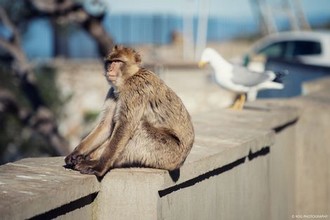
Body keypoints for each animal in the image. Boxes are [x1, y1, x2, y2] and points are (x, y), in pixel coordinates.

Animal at [64, 44, 193, 177]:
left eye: (118, 61)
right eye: (110, 62)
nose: (110, 69)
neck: (129, 77)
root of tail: (180, 162)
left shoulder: (134, 89)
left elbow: (125, 126)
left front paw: (100, 167)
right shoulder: (112, 92)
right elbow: (106, 125)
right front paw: (76, 153)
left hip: (167, 154)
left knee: (140, 127)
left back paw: (94, 162)